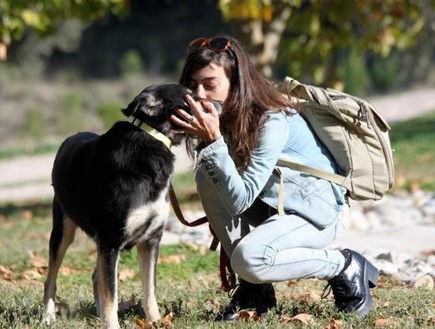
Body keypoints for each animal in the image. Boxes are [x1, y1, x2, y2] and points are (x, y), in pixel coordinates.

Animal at [43, 82, 204, 326]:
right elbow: (111, 293)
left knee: (95, 277)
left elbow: (150, 289)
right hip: (63, 231)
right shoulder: (110, 240)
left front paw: (156, 321)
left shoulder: (150, 239)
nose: (220, 103)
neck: (153, 139)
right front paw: (112, 325)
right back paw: (48, 316)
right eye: (189, 96)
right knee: (52, 277)